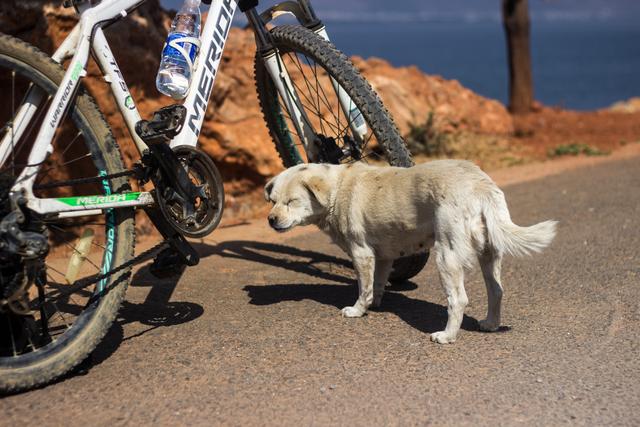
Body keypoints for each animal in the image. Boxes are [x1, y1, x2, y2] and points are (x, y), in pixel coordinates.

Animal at [264, 160, 556, 344]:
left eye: (292, 202)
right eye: (273, 201)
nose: (271, 220)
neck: (338, 187)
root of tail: (480, 185)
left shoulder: (362, 253)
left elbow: (363, 287)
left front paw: (358, 310)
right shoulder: (383, 256)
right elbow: (377, 284)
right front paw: (375, 304)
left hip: (447, 256)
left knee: (458, 300)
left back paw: (447, 336)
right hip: (489, 253)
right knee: (496, 290)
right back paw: (491, 324)